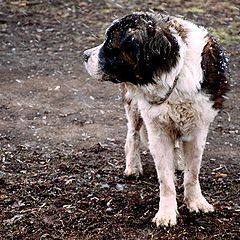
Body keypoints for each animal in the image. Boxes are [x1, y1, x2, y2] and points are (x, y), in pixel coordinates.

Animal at [83, 12, 230, 227]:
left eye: (110, 44)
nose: (85, 55)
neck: (172, 76)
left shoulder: (198, 129)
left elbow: (192, 173)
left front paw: (196, 202)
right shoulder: (158, 131)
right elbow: (165, 180)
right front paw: (167, 213)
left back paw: (178, 161)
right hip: (134, 108)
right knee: (132, 136)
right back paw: (133, 166)